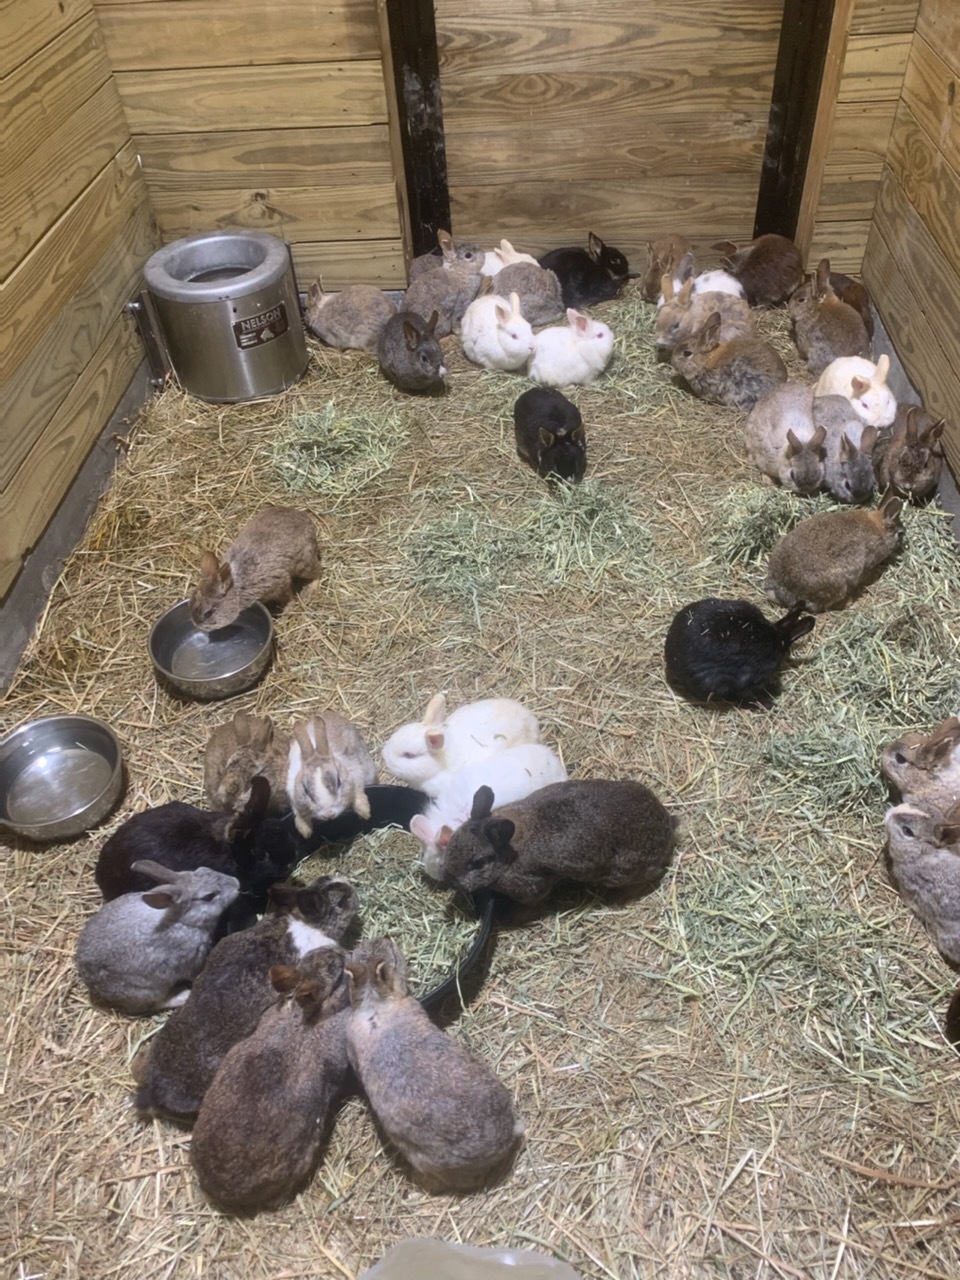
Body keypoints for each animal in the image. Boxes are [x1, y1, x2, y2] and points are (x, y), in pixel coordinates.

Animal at [75, 862, 240, 1014]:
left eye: (203, 869)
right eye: (209, 896)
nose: (237, 883)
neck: (183, 921)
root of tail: (90, 982)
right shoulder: (192, 962)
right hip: (147, 991)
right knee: (156, 1004)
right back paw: (183, 996)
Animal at [189, 506, 321, 631]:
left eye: (208, 613)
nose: (197, 625)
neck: (237, 589)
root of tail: (308, 521)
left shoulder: (279, 584)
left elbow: (289, 598)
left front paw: (286, 613)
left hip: (303, 563)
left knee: (318, 571)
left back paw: (311, 589)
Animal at [438, 780, 676, 906]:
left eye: (478, 863)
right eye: (453, 840)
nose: (450, 880)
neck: (510, 851)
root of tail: (667, 827)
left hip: (623, 870)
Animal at [764, 490, 904, 612]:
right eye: (900, 533)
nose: (904, 538)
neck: (879, 529)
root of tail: (780, 589)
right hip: (837, 585)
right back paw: (848, 601)